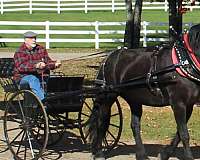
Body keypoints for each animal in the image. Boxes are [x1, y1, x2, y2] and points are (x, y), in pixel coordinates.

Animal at [89, 23, 200, 160]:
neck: (185, 61)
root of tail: (108, 58)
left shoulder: (189, 105)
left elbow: (179, 132)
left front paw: (165, 154)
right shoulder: (178, 104)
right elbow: (184, 133)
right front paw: (188, 157)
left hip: (134, 99)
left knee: (135, 125)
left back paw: (141, 154)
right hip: (108, 96)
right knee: (102, 122)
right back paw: (99, 152)